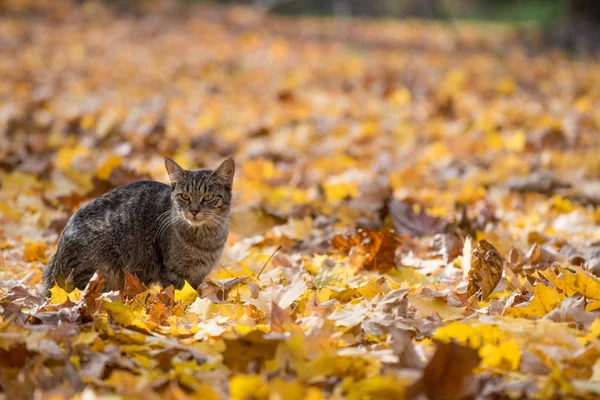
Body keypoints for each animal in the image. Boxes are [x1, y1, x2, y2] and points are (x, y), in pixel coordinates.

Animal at [41, 156, 234, 296]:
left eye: (208, 197)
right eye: (185, 196)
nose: (194, 211)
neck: (205, 240)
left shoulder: (198, 275)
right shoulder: (174, 273)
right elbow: (176, 295)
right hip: (96, 270)